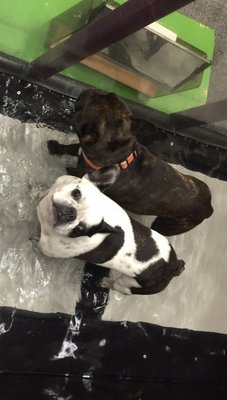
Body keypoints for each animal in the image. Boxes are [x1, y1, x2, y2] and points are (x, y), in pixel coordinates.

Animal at [36, 167, 184, 296]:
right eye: (76, 193)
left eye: (80, 229)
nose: (71, 213)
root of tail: (173, 267)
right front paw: (39, 191)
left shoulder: (48, 248)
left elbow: (39, 246)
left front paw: (34, 243)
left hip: (129, 285)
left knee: (120, 287)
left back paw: (107, 283)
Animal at [47, 89, 213, 236]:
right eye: (110, 95)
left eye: (91, 102)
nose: (91, 90)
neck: (119, 156)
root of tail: (209, 208)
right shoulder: (82, 150)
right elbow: (70, 148)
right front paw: (57, 147)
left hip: (167, 225)